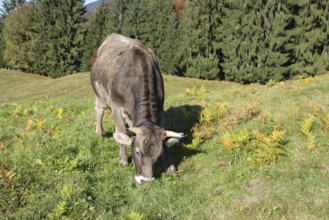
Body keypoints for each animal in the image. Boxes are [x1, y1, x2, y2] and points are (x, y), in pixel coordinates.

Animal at [89, 33, 183, 183]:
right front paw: (123, 160)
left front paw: (169, 165)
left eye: (158, 155)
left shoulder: (160, 107)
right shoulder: (116, 106)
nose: (146, 180)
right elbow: (121, 130)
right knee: (99, 111)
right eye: (138, 152)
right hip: (100, 95)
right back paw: (99, 132)